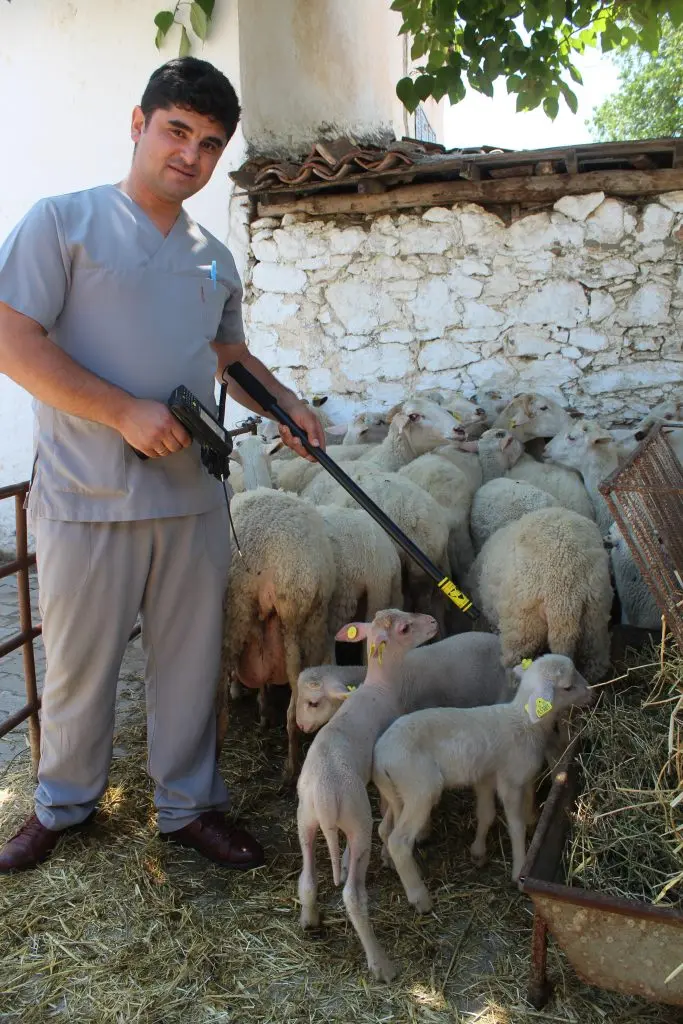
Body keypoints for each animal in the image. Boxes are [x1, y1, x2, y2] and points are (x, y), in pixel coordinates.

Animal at [294, 610, 436, 978]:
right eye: (405, 628)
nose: (432, 621)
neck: (379, 685)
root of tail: (326, 796)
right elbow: (389, 808)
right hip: (358, 822)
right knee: (353, 896)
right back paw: (381, 964)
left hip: (305, 820)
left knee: (307, 878)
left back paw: (310, 920)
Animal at [374, 651, 593, 909]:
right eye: (567, 687)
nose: (591, 693)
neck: (525, 722)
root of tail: (380, 758)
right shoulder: (510, 781)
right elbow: (516, 825)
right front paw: (519, 870)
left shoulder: (487, 777)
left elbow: (486, 814)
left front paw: (478, 851)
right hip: (420, 789)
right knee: (399, 841)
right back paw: (420, 898)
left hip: (397, 793)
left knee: (385, 829)